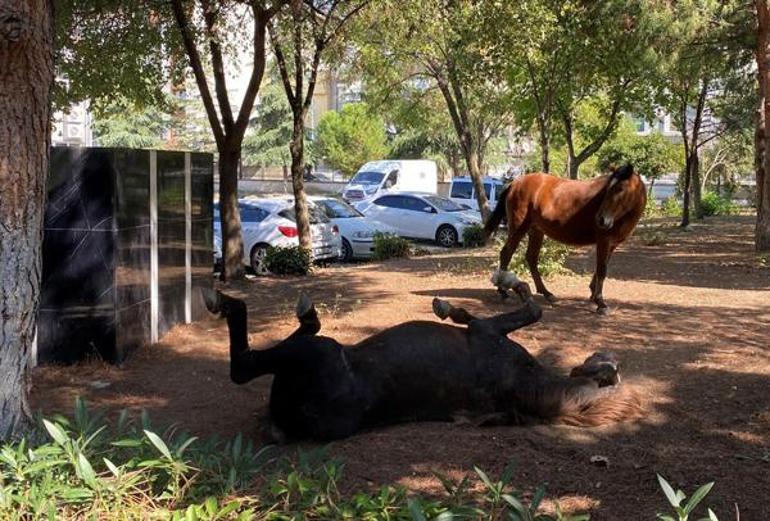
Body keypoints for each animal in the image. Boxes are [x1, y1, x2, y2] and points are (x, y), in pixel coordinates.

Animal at [202, 284, 636, 438]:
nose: (607, 357)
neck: (526, 387)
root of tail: (284, 423)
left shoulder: (488, 330)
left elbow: (531, 307)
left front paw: (455, 305)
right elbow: (527, 306)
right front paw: (453, 308)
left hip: (317, 351)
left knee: (244, 364)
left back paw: (222, 300)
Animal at [486, 165, 640, 314]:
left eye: (620, 188)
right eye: (607, 189)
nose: (601, 220)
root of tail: (514, 183)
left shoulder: (612, 245)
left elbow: (601, 268)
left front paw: (593, 294)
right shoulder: (604, 241)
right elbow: (602, 270)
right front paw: (600, 303)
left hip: (536, 230)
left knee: (531, 258)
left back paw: (547, 293)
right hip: (518, 228)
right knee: (507, 253)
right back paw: (503, 293)